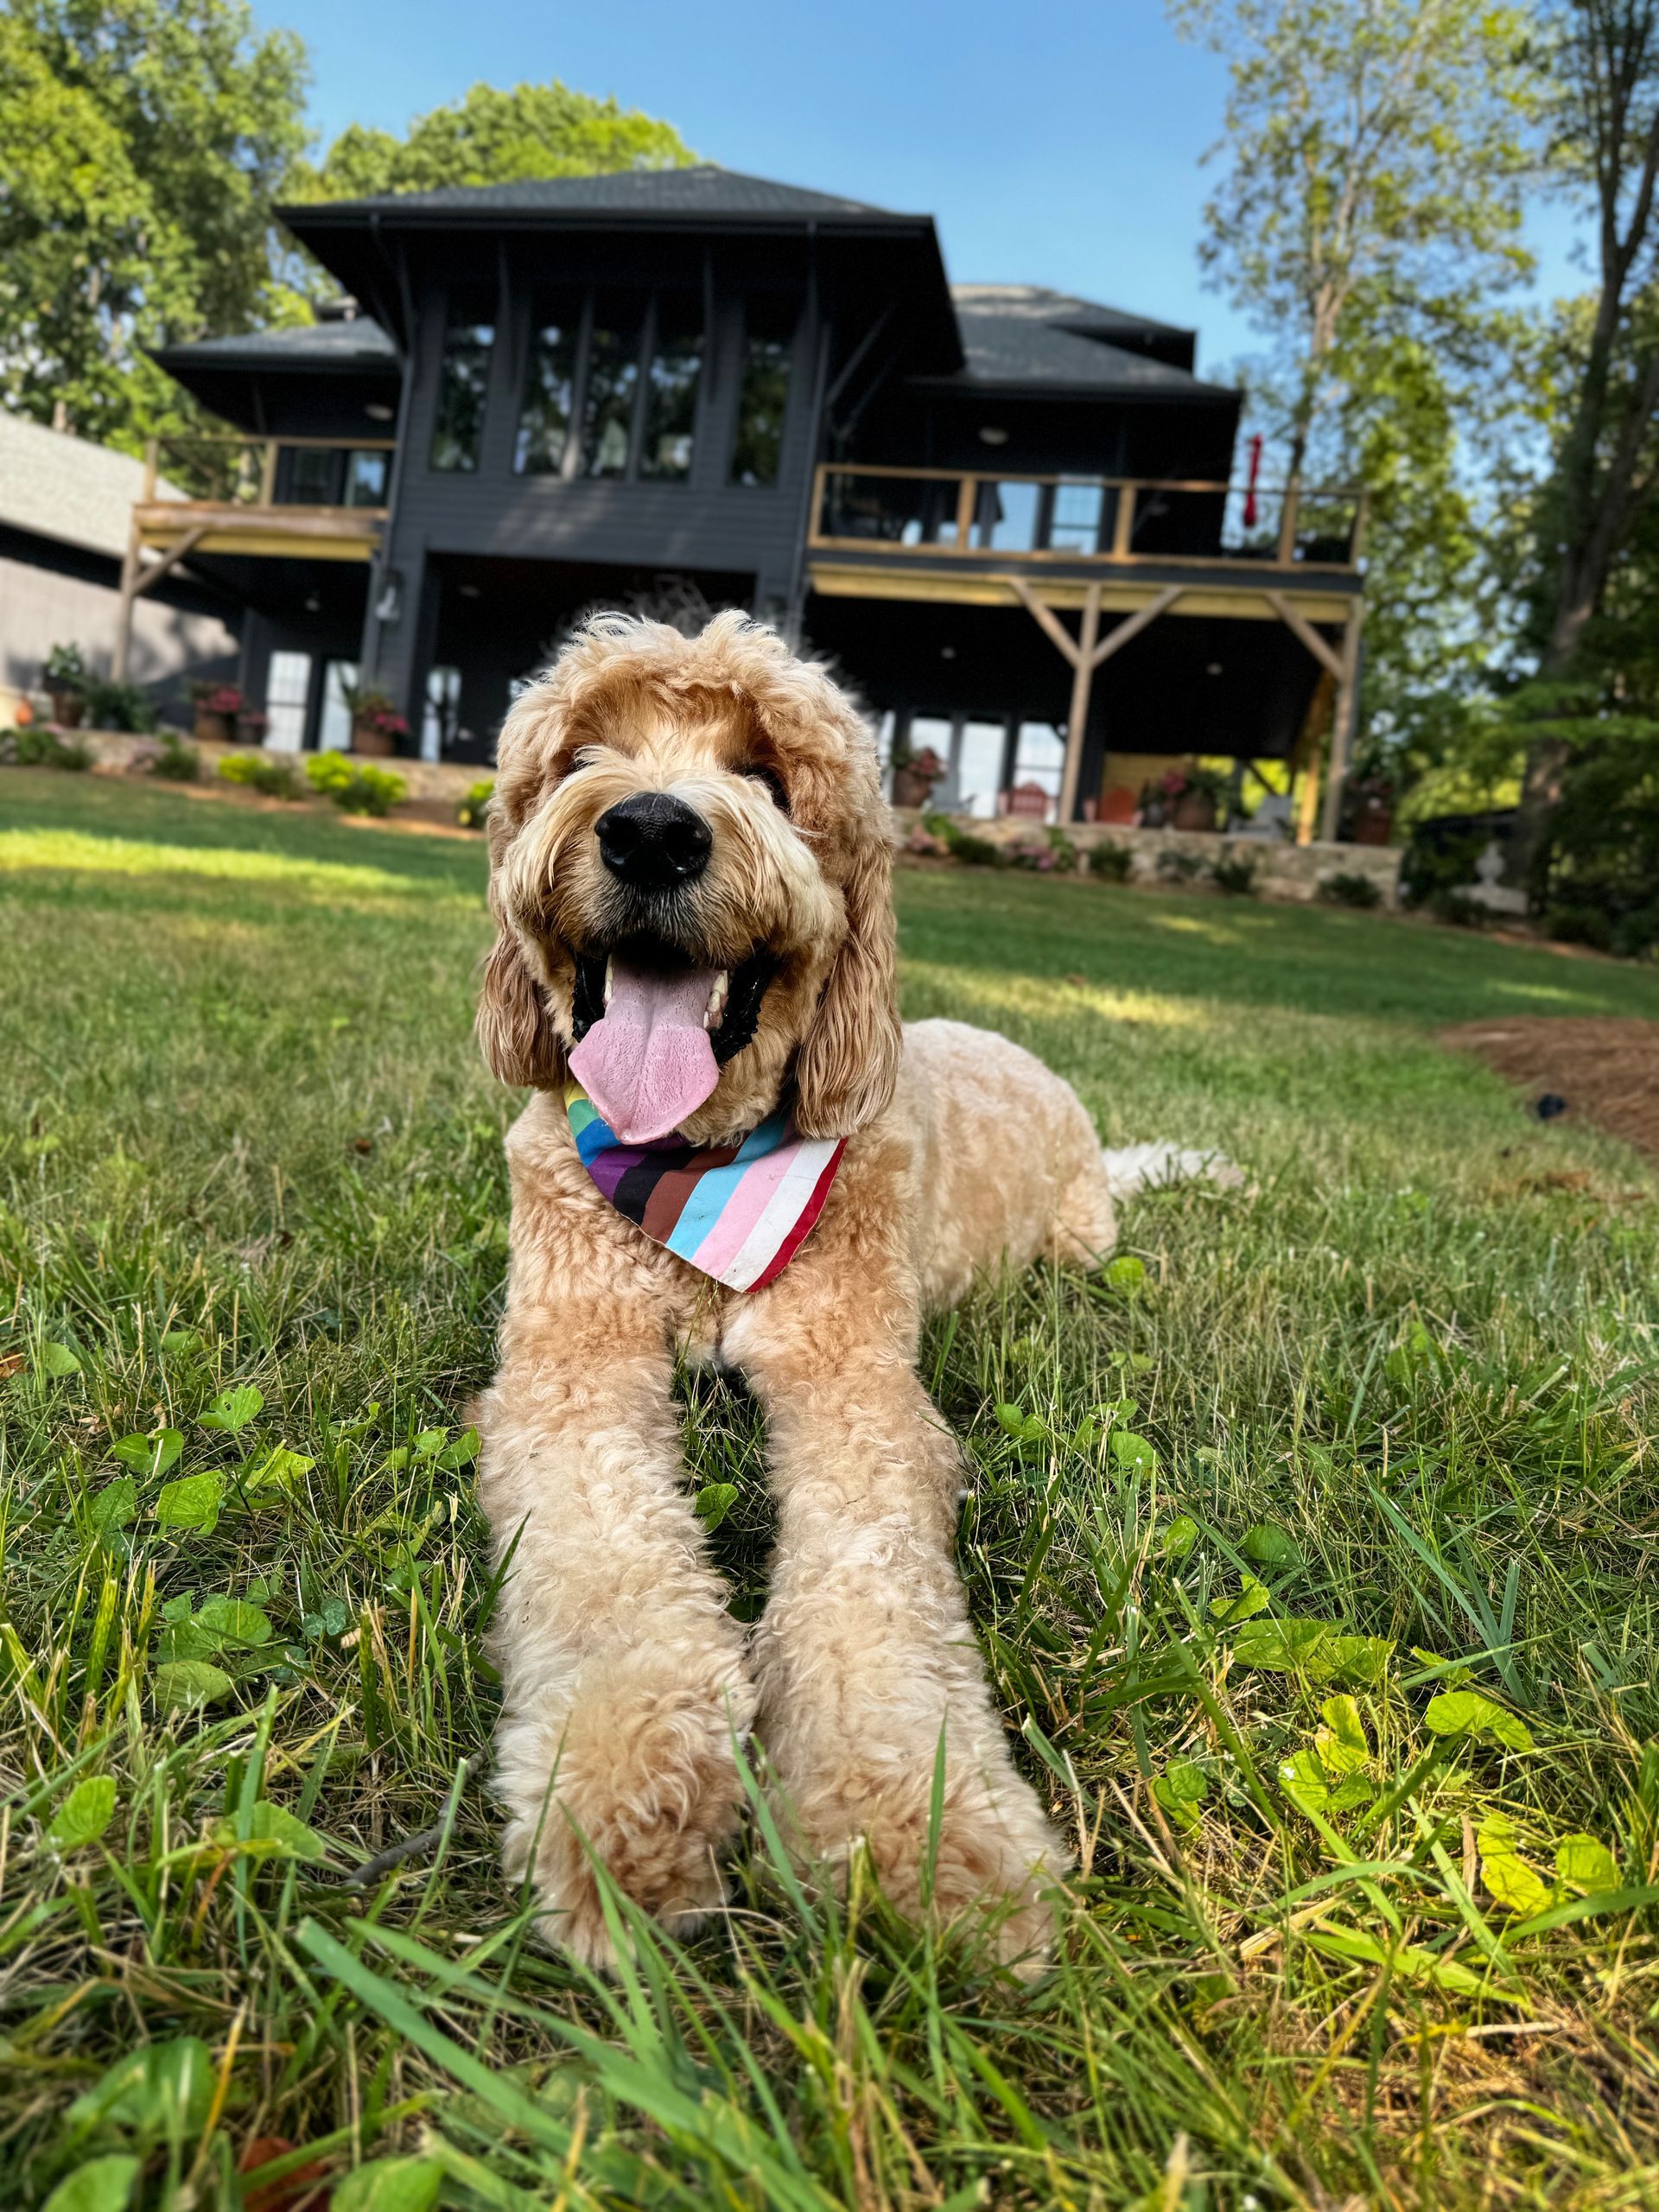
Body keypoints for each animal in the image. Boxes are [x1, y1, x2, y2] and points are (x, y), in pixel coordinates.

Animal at [474, 610, 1209, 1968]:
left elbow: (875, 1585)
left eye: (769, 776)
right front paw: (630, 1792)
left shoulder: (854, 1382)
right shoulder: (571, 1367)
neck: (693, 1161)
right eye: (581, 757)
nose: (650, 829)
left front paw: (911, 1824)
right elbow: (605, 1558)